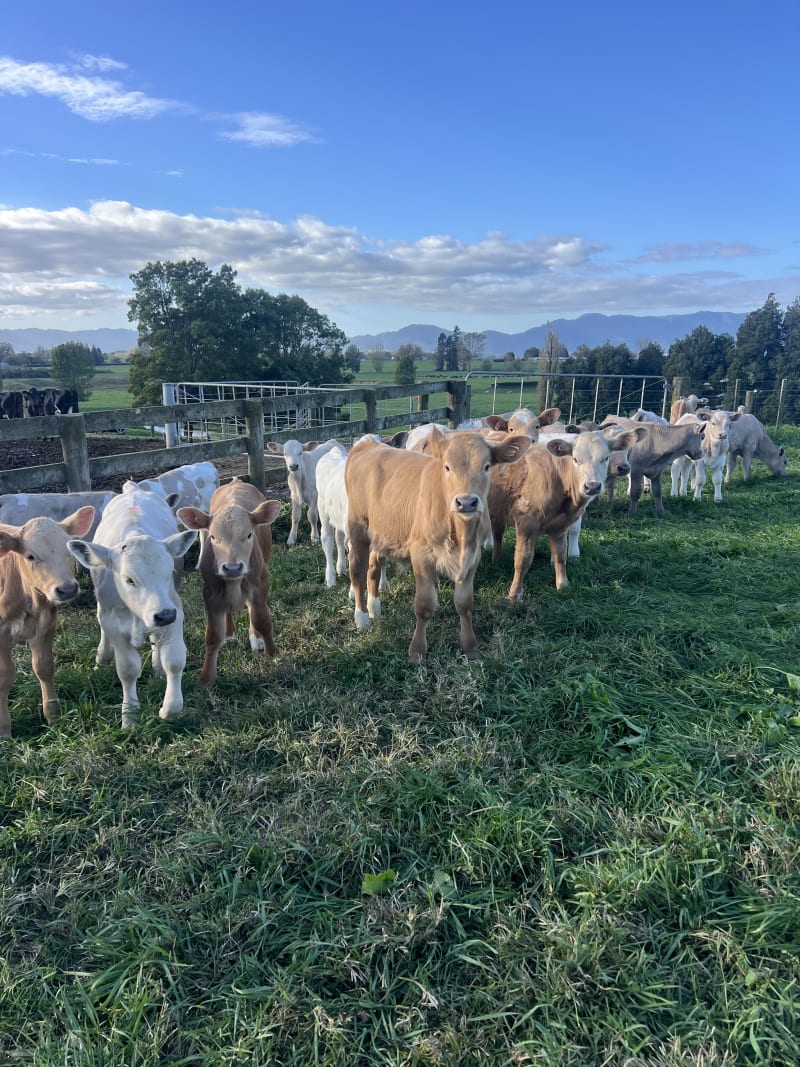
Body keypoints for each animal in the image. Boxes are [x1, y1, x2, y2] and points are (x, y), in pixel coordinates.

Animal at [0, 506, 95, 737]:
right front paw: (4, 730)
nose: (67, 589)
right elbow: (5, 676)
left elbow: (44, 667)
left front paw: (53, 716)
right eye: (30, 556)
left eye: (68, 550)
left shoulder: (46, 624)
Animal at [67, 485, 197, 728]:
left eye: (169, 572)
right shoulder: (113, 623)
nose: (164, 615)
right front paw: (129, 717)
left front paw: (170, 709)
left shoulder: (175, 611)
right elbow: (127, 670)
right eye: (129, 580)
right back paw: (102, 657)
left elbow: (174, 660)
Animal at [177, 480, 281, 689]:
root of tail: (236, 480)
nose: (232, 568)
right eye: (213, 537)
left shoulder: (260, 584)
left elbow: (262, 620)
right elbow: (212, 635)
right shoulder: (210, 592)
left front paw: (271, 652)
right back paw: (230, 633)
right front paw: (206, 679)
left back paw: (255, 638)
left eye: (249, 535)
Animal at [345, 428, 530, 662]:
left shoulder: (473, 556)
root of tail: (368, 444)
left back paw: (374, 607)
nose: (466, 502)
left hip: (381, 532)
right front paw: (417, 650)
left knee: (373, 568)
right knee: (357, 570)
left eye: (487, 466)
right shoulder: (421, 555)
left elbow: (465, 604)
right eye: (447, 467)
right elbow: (424, 606)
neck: (460, 533)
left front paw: (470, 645)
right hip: (357, 525)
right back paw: (361, 617)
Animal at [488, 429, 641, 600]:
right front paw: (515, 594)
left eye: (606, 458)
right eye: (575, 459)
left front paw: (563, 585)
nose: (592, 486)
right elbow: (523, 559)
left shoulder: (560, 525)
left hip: (497, 511)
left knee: (498, 535)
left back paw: (496, 561)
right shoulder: (526, 523)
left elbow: (560, 555)